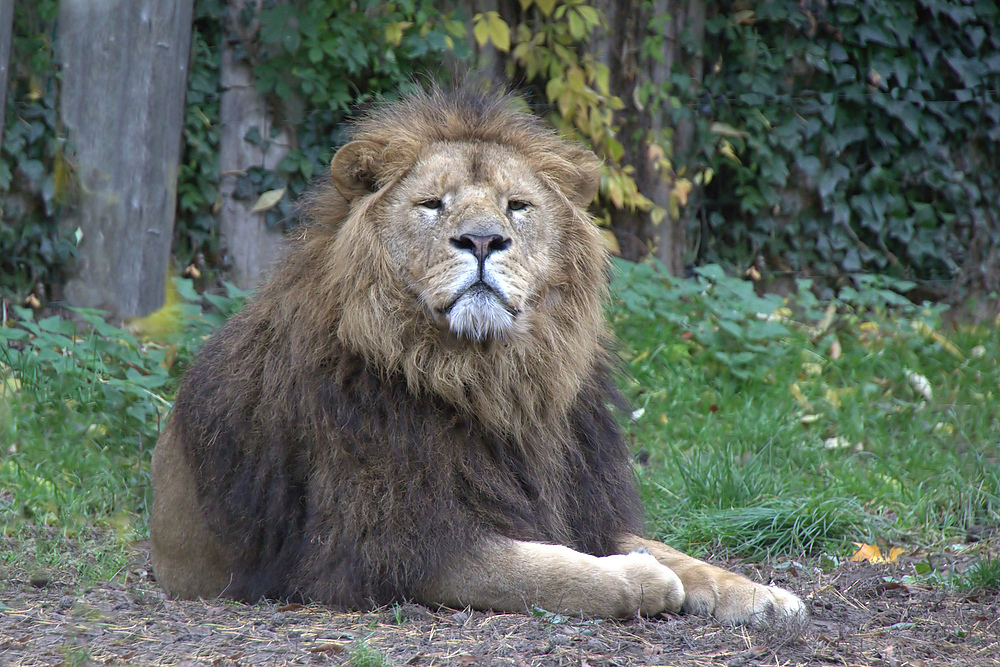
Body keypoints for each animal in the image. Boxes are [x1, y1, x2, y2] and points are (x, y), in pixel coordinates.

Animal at [150, 88, 804, 628]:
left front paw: (762, 594)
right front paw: (643, 578)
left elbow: (680, 556)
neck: (490, 380)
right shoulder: (402, 547)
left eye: (517, 206)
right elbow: (553, 573)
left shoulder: (580, 505)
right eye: (431, 204)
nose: (484, 240)